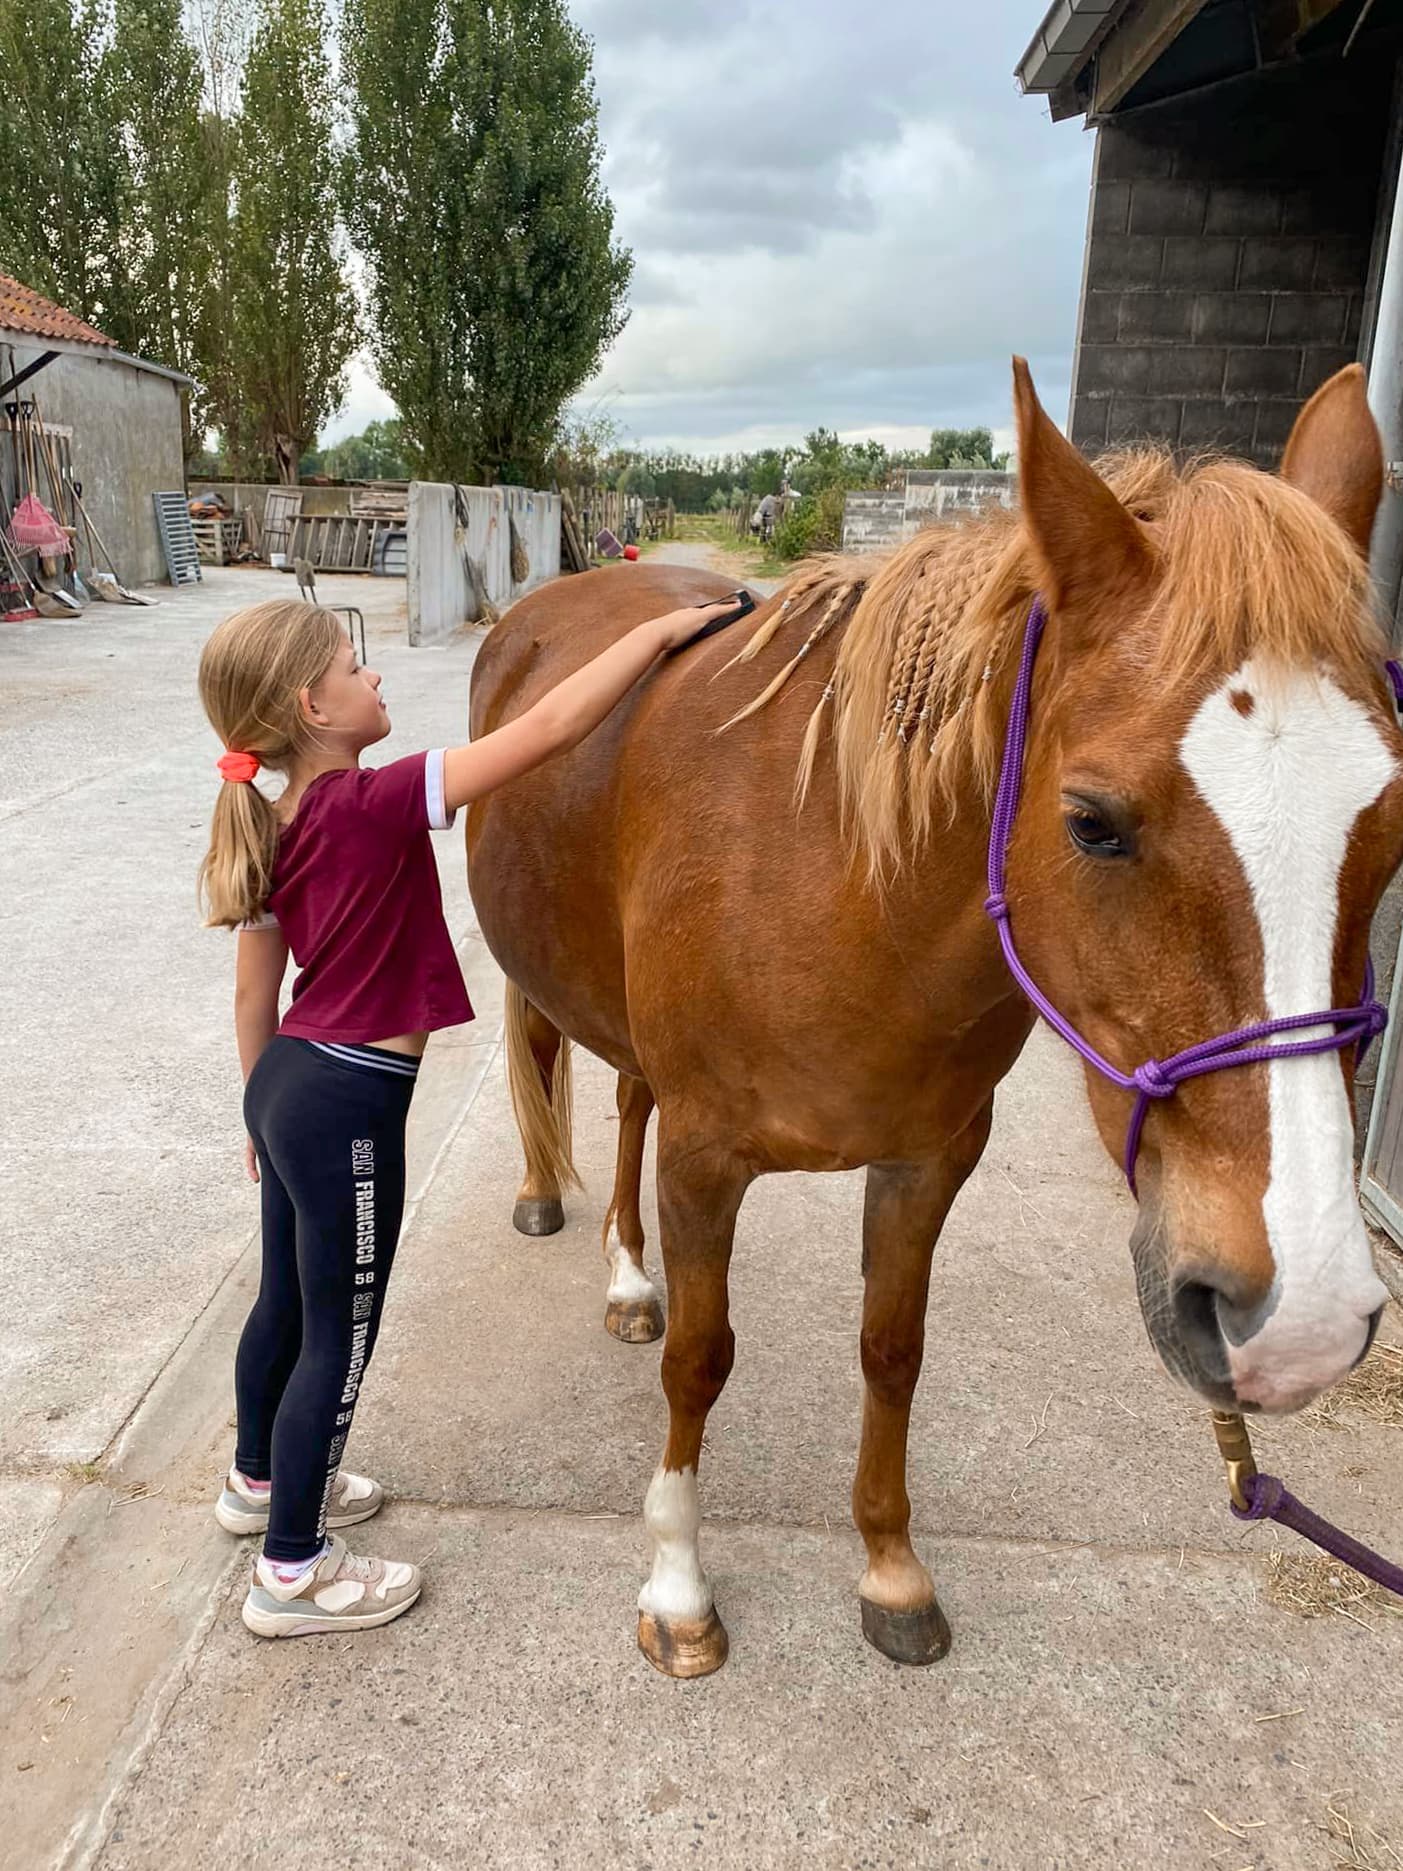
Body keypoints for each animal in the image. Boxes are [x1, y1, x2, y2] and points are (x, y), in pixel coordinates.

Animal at [465, 360, 1403, 1679]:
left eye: (1390, 825)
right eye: (1091, 821)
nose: (1303, 1320)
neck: (841, 879)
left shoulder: (926, 1160)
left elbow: (890, 1349)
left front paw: (891, 1567)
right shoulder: (707, 1160)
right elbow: (700, 1362)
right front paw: (677, 1588)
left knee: (627, 1094)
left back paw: (627, 1277)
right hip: (547, 986)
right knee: (556, 1063)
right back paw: (558, 1213)